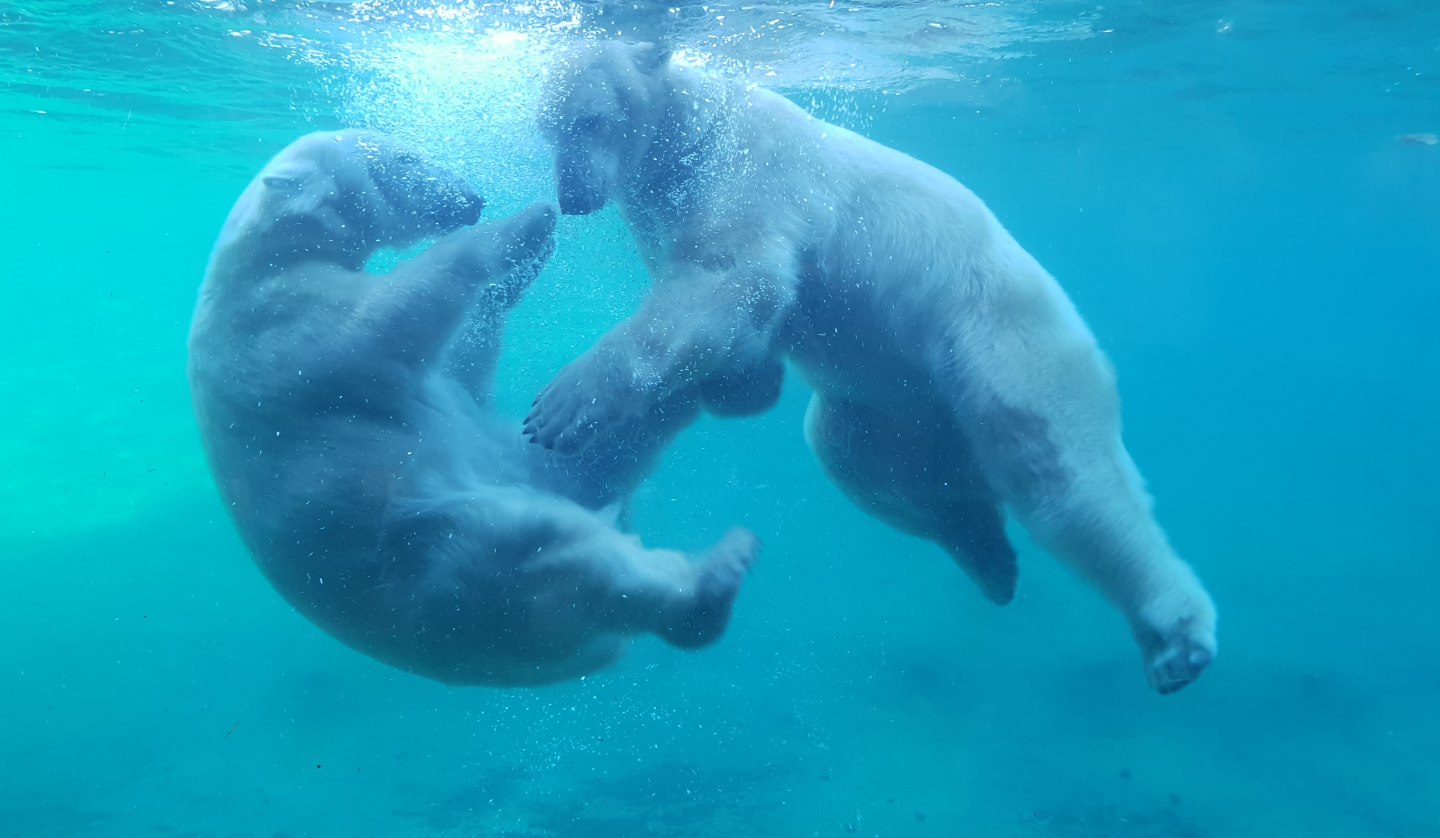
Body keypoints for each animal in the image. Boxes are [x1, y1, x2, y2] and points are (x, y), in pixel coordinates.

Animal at [188, 128, 766, 685]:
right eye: (405, 158)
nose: (471, 198)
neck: (259, 259)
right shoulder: (282, 325)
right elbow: (389, 315)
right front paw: (525, 224)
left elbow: (462, 372)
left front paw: (528, 260)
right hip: (449, 567)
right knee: (560, 556)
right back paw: (715, 577)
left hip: (524, 471)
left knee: (599, 457)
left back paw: (720, 384)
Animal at [524, 41, 1221, 696]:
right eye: (548, 129)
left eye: (591, 120)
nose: (572, 197)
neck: (690, 132)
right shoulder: (659, 212)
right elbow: (738, 327)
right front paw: (745, 383)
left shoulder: (744, 174)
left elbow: (733, 278)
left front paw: (561, 407)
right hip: (893, 410)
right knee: (859, 458)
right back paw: (987, 554)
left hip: (998, 340)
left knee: (1064, 477)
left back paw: (1175, 637)